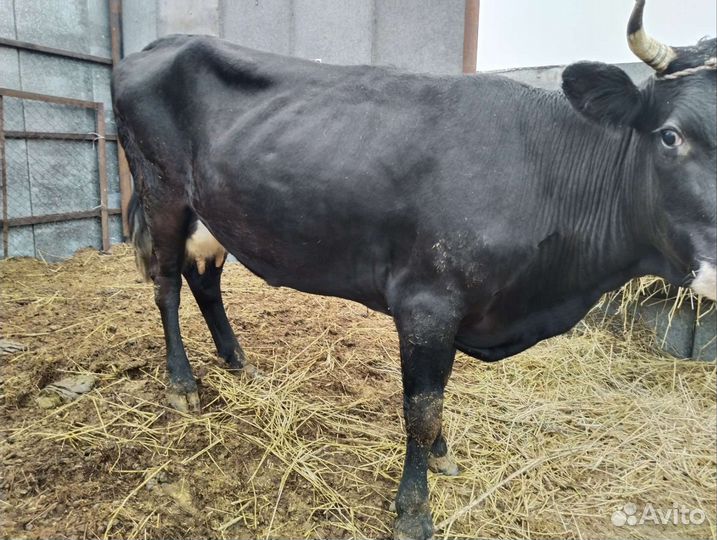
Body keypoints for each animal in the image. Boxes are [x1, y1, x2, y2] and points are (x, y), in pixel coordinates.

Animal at [112, 1, 716, 538]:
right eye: (671, 135)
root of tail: (160, 44)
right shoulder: (429, 301)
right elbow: (422, 407)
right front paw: (413, 511)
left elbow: (438, 395)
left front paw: (443, 455)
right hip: (162, 191)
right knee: (167, 284)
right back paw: (182, 384)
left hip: (211, 210)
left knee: (204, 278)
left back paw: (237, 361)